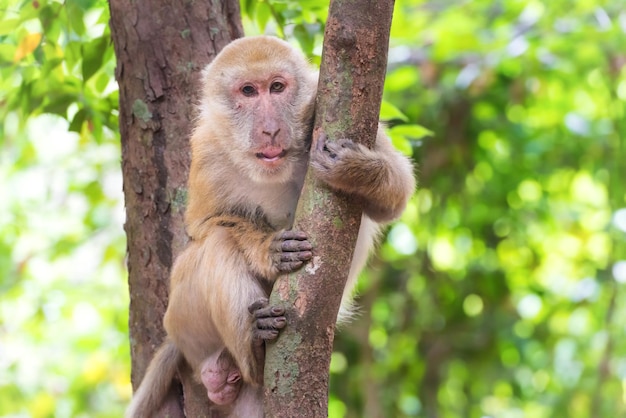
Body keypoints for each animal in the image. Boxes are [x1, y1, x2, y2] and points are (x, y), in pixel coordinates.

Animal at [126, 36, 414, 418]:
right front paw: (271, 251)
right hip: (182, 316)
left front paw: (353, 170)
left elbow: (395, 200)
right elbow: (205, 225)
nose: (271, 129)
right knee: (217, 242)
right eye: (248, 91)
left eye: (277, 87)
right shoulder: (206, 147)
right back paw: (253, 349)